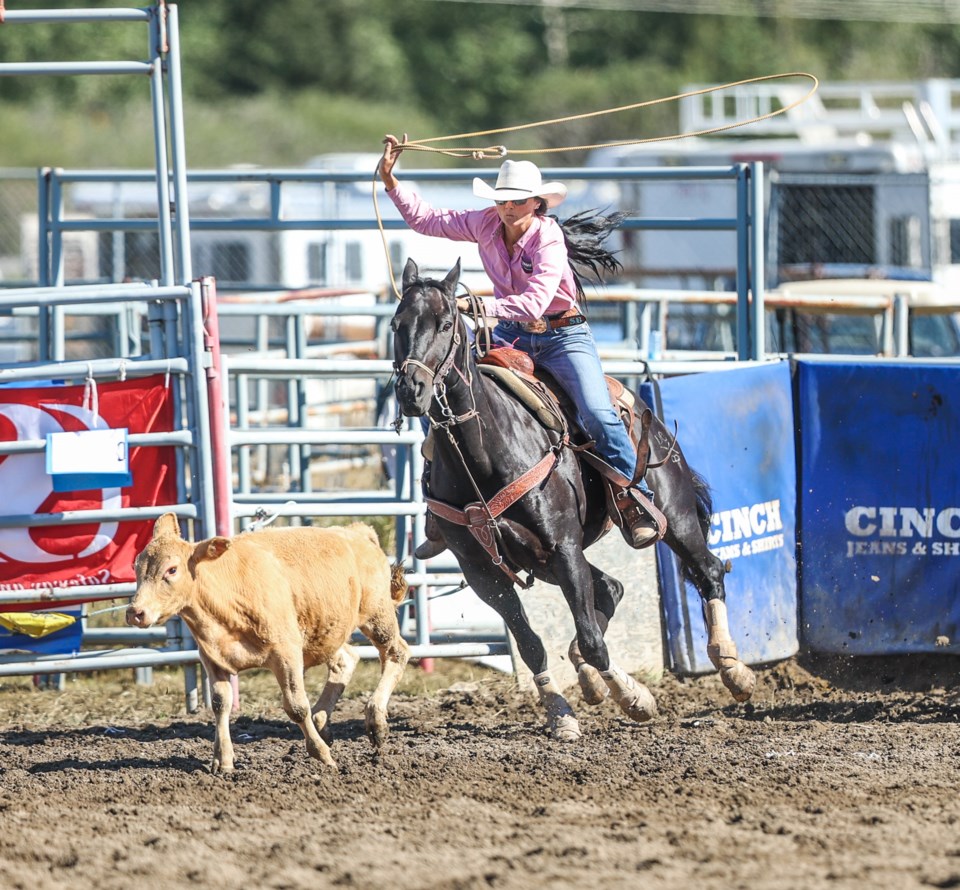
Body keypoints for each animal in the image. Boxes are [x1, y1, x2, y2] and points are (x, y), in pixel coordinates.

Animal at [124, 512, 408, 772]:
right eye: (136, 567)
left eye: (171, 570)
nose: (135, 612)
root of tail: (357, 533)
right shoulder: (212, 658)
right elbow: (220, 704)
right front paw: (223, 760)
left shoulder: (286, 652)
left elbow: (296, 706)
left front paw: (321, 755)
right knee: (346, 659)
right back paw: (322, 722)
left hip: (377, 615)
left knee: (397, 652)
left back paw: (375, 720)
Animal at [392, 258, 756, 744]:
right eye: (397, 324)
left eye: (446, 323)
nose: (411, 390)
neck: (483, 449)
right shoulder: (483, 569)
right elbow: (531, 644)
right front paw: (560, 713)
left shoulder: (563, 547)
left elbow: (591, 639)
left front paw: (635, 698)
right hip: (541, 560)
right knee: (611, 588)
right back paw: (590, 680)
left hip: (673, 517)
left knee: (708, 570)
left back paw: (734, 670)